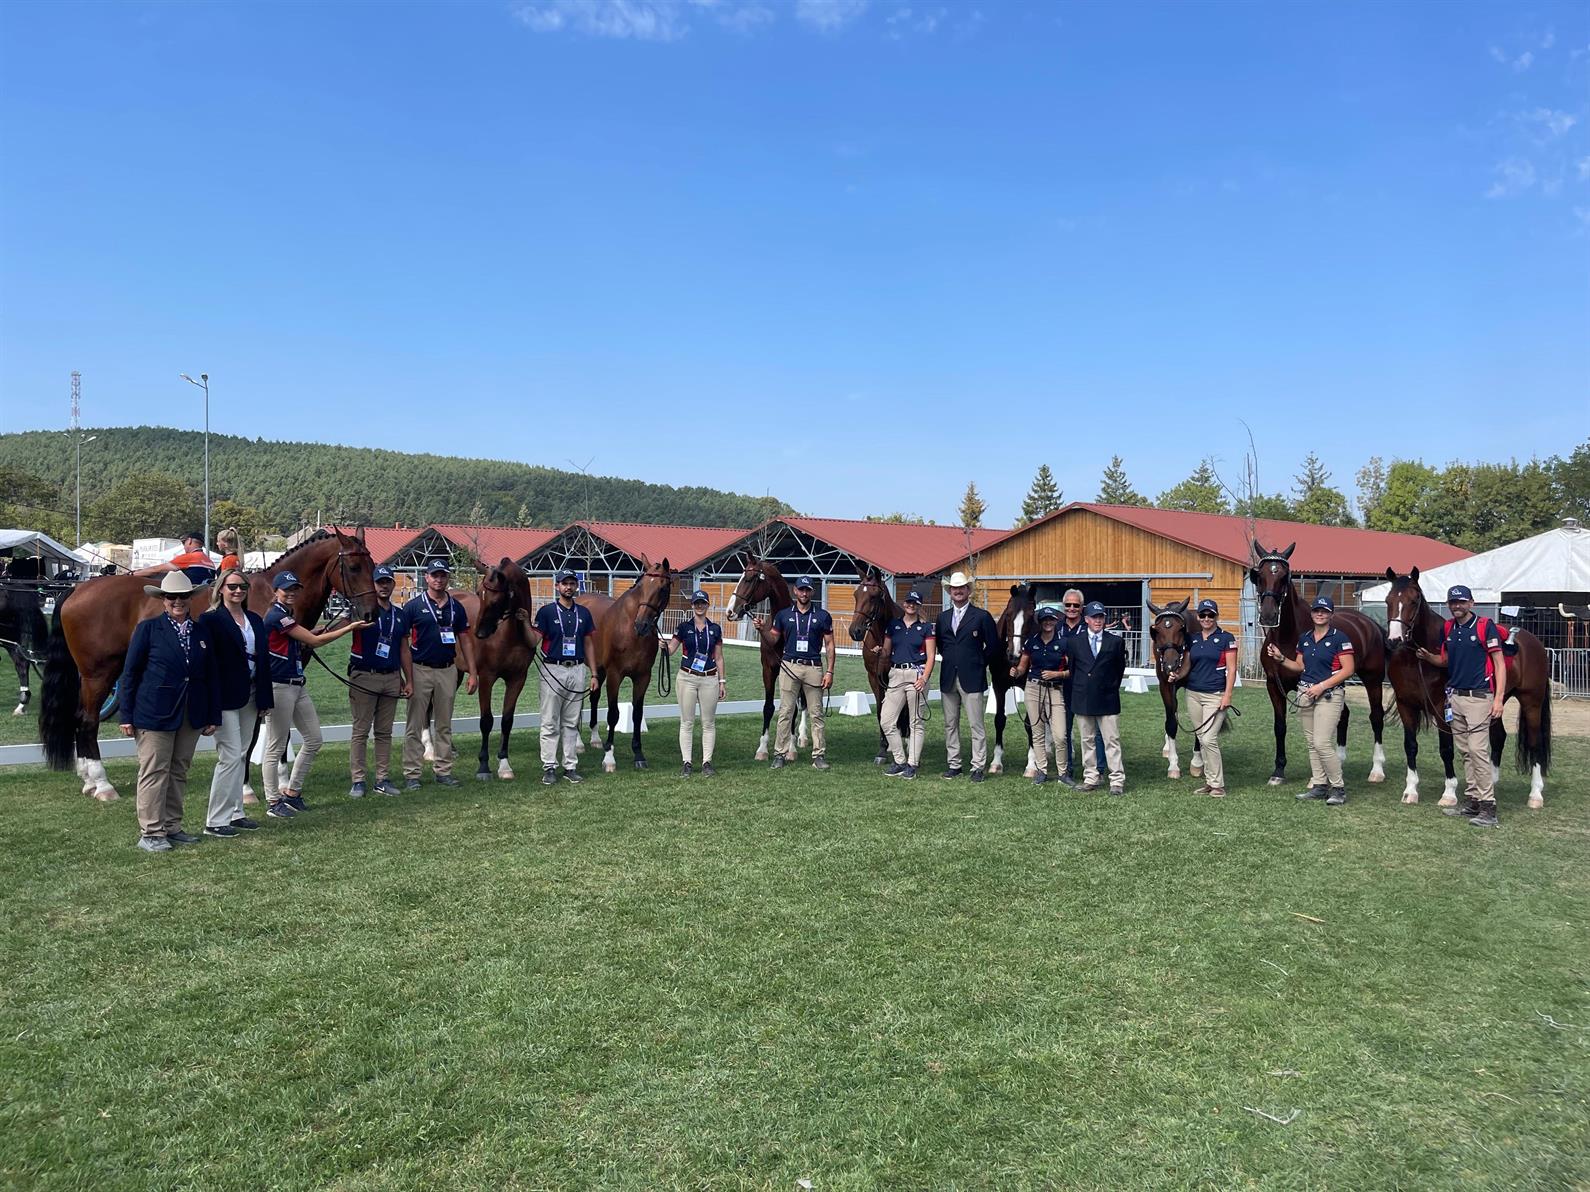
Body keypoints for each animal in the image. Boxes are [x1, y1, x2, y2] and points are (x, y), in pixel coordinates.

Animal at [38, 530, 380, 804]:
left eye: (372, 566)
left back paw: (88, 779)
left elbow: (280, 733)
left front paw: (282, 782)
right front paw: (246, 789)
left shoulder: (284, 680)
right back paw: (102, 784)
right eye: (353, 567)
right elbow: (252, 738)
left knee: (79, 719)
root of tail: (78, 589)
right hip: (99, 674)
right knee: (87, 721)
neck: (273, 599)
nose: (371, 613)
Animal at [585, 559, 670, 775]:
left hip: (600, 670)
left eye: (662, 588)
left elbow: (637, 715)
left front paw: (639, 755)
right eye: (641, 587)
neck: (630, 631)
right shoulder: (615, 675)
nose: (642, 625)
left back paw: (595, 739)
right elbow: (613, 714)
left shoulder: (643, 677)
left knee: (594, 697)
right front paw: (609, 758)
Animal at [728, 556, 814, 759]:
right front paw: (762, 749)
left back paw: (802, 737)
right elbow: (768, 708)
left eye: (750, 579)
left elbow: (793, 709)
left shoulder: (790, 673)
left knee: (803, 703)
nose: (730, 611)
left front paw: (790, 748)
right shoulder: (768, 669)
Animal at [1246, 543, 1386, 788]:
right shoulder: (1274, 686)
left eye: (1284, 576)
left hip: (1373, 679)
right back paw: (1338, 763)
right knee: (1344, 715)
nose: (1269, 615)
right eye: (1260, 575)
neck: (1287, 637)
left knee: (1376, 716)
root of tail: (1370, 623)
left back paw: (1377, 770)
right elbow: (1280, 727)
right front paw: (1278, 771)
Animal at [1380, 568, 1551, 813]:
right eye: (1388, 600)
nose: (1394, 639)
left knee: (1535, 743)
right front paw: (1410, 791)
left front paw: (1449, 793)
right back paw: (1490, 785)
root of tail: (1533, 641)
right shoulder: (1406, 705)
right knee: (1498, 737)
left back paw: (1535, 794)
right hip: (1497, 702)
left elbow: (1446, 749)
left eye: (1414, 600)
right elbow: (1410, 746)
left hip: (1532, 702)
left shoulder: (1441, 707)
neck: (1415, 660)